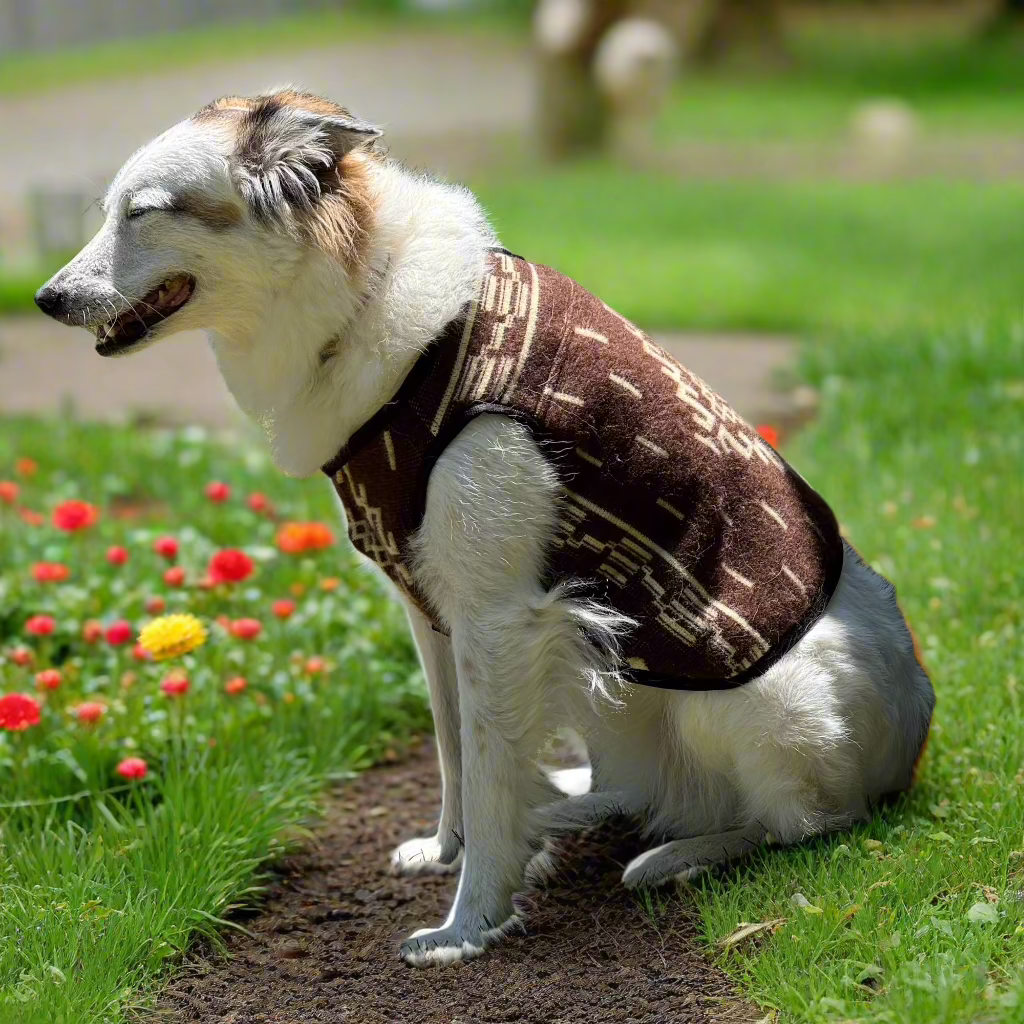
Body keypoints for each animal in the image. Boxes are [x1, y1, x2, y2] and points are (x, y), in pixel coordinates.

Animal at [37, 90, 937, 966]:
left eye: (143, 213)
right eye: (108, 210)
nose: (46, 299)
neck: (368, 304)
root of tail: (914, 738)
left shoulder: (498, 618)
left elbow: (492, 777)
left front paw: (468, 926)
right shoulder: (433, 609)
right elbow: (455, 756)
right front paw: (447, 852)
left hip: (746, 696)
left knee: (806, 821)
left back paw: (679, 856)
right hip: (612, 665)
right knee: (642, 785)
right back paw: (581, 805)